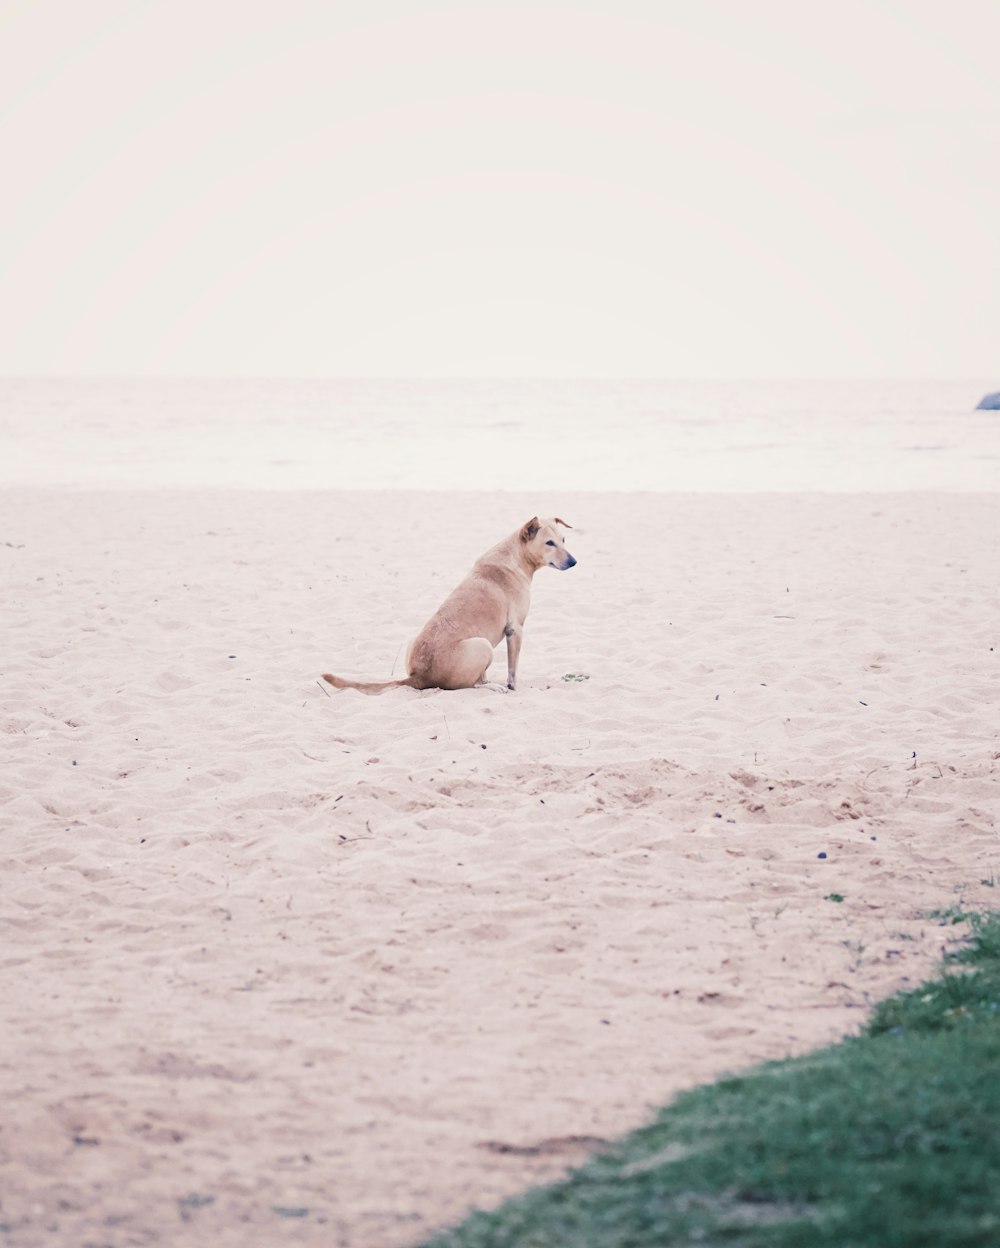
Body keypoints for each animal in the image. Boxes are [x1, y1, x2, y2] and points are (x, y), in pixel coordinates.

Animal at [324, 514, 574, 698]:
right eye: (549, 543)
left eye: (563, 540)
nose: (574, 562)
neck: (516, 556)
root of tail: (418, 676)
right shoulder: (516, 630)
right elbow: (512, 670)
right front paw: (511, 686)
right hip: (482, 645)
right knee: (468, 685)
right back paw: (490, 686)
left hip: (413, 640)